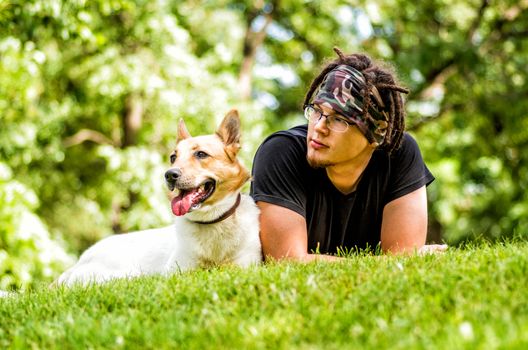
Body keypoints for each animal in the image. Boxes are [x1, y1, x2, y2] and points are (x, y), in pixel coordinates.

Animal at [57, 110, 262, 286]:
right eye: (173, 157)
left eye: (201, 154)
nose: (170, 175)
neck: (211, 222)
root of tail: (78, 263)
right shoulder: (178, 271)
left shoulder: (245, 265)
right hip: (124, 273)